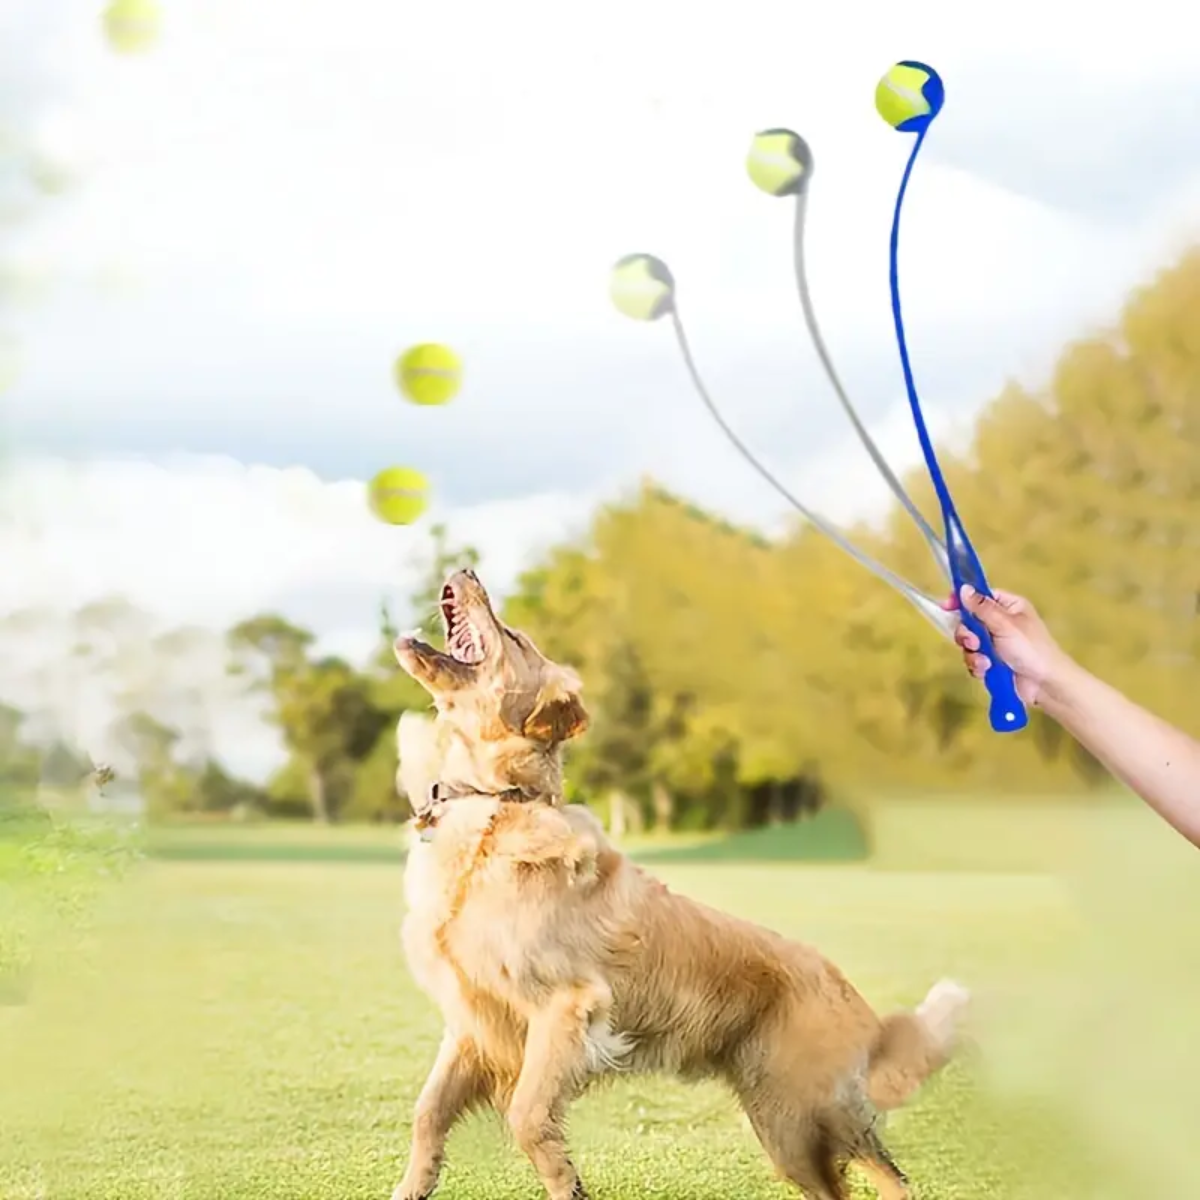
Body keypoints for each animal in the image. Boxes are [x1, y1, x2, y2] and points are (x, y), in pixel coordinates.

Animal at [388, 571, 969, 1200]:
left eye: (513, 636)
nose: (467, 571)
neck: (495, 805)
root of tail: (853, 995)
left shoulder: (567, 1008)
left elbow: (527, 1116)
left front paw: (567, 1181)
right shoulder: (472, 1022)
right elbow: (427, 1113)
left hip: (816, 1109)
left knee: (893, 1176)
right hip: (783, 1128)